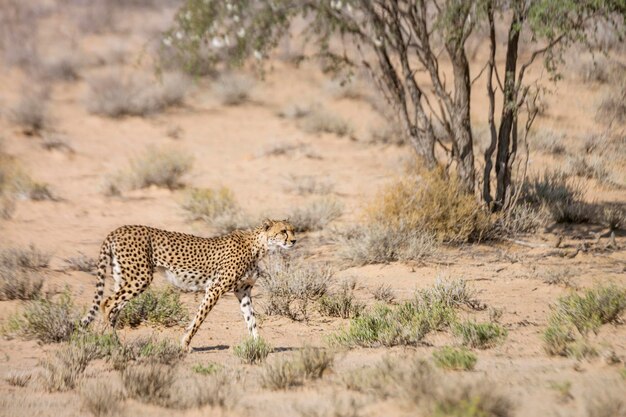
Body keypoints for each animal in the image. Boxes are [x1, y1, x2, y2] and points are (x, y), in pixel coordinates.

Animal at [80, 219, 294, 350]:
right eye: (283, 231)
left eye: (292, 230)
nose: (294, 240)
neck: (258, 246)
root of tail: (119, 229)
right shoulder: (215, 288)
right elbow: (199, 319)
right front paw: (184, 344)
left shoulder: (243, 291)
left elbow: (251, 319)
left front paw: (259, 344)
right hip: (140, 277)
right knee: (107, 303)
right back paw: (112, 341)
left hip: (124, 278)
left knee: (114, 308)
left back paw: (110, 341)